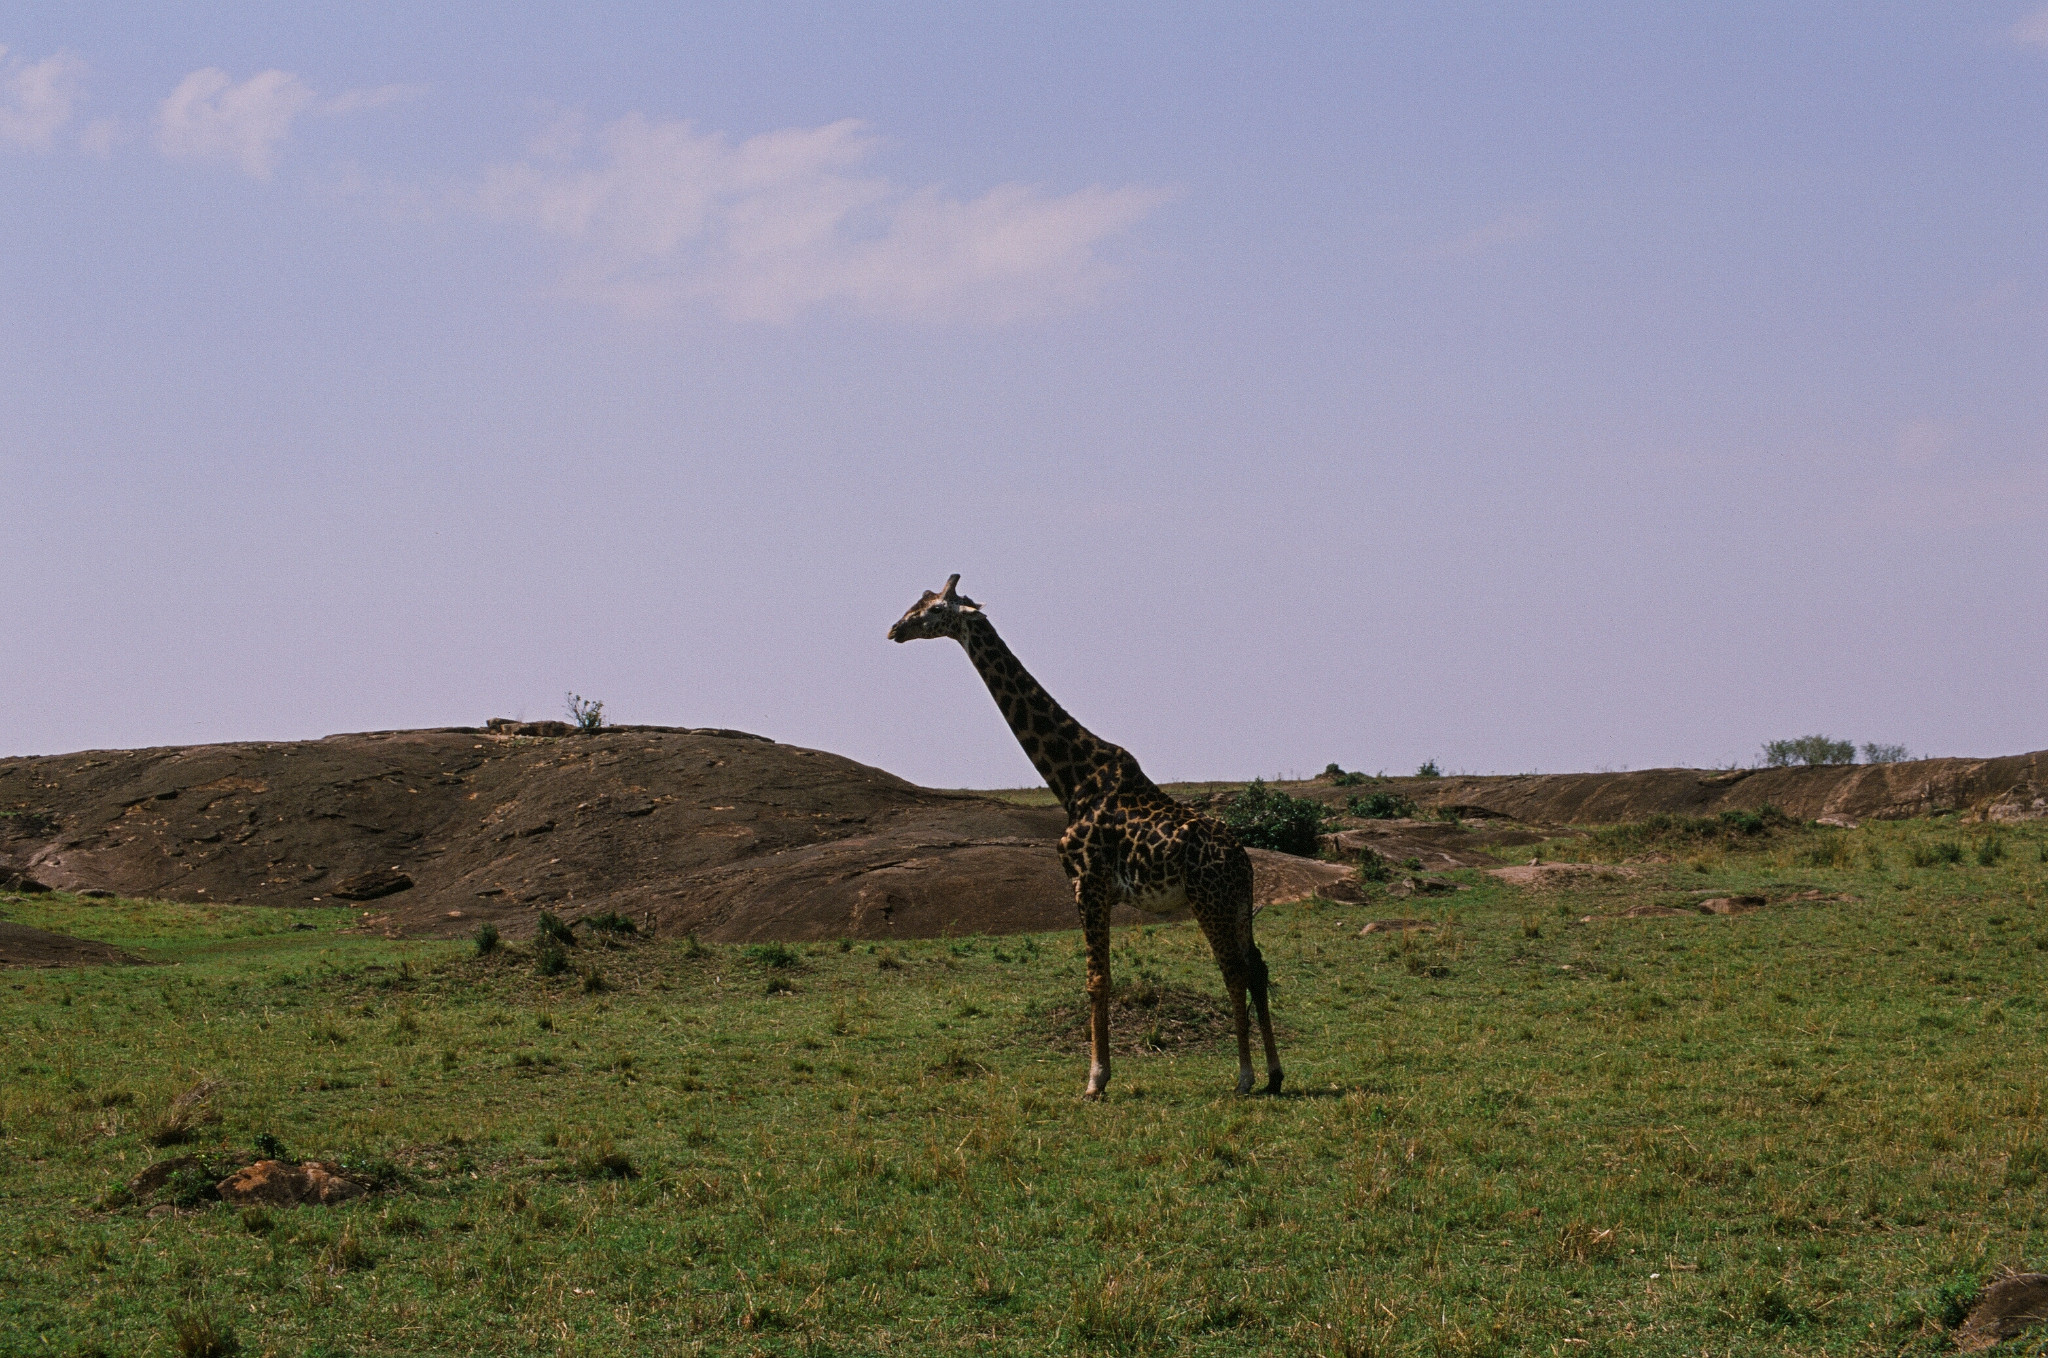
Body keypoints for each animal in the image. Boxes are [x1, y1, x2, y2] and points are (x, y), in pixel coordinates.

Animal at [892, 577, 1286, 1097]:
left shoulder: (1088, 883)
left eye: (935, 609)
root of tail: (1243, 861)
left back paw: (1244, 1077)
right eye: (918, 602)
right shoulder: (1100, 890)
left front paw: (1096, 1081)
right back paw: (1275, 1076)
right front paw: (1100, 1075)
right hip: (1238, 903)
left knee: (1233, 970)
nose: (895, 629)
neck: (1073, 778)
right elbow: (1103, 977)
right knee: (1256, 967)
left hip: (1209, 900)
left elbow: (1097, 979)